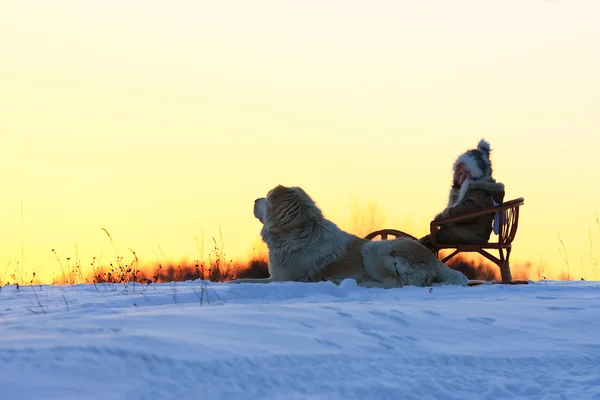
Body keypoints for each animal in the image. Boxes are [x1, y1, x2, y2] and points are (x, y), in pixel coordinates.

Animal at [231, 184, 468, 288]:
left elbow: (243, 280)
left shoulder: (282, 279)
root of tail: (435, 261)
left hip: (372, 250)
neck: (297, 230)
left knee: (402, 282)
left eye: (267, 197)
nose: (254, 199)